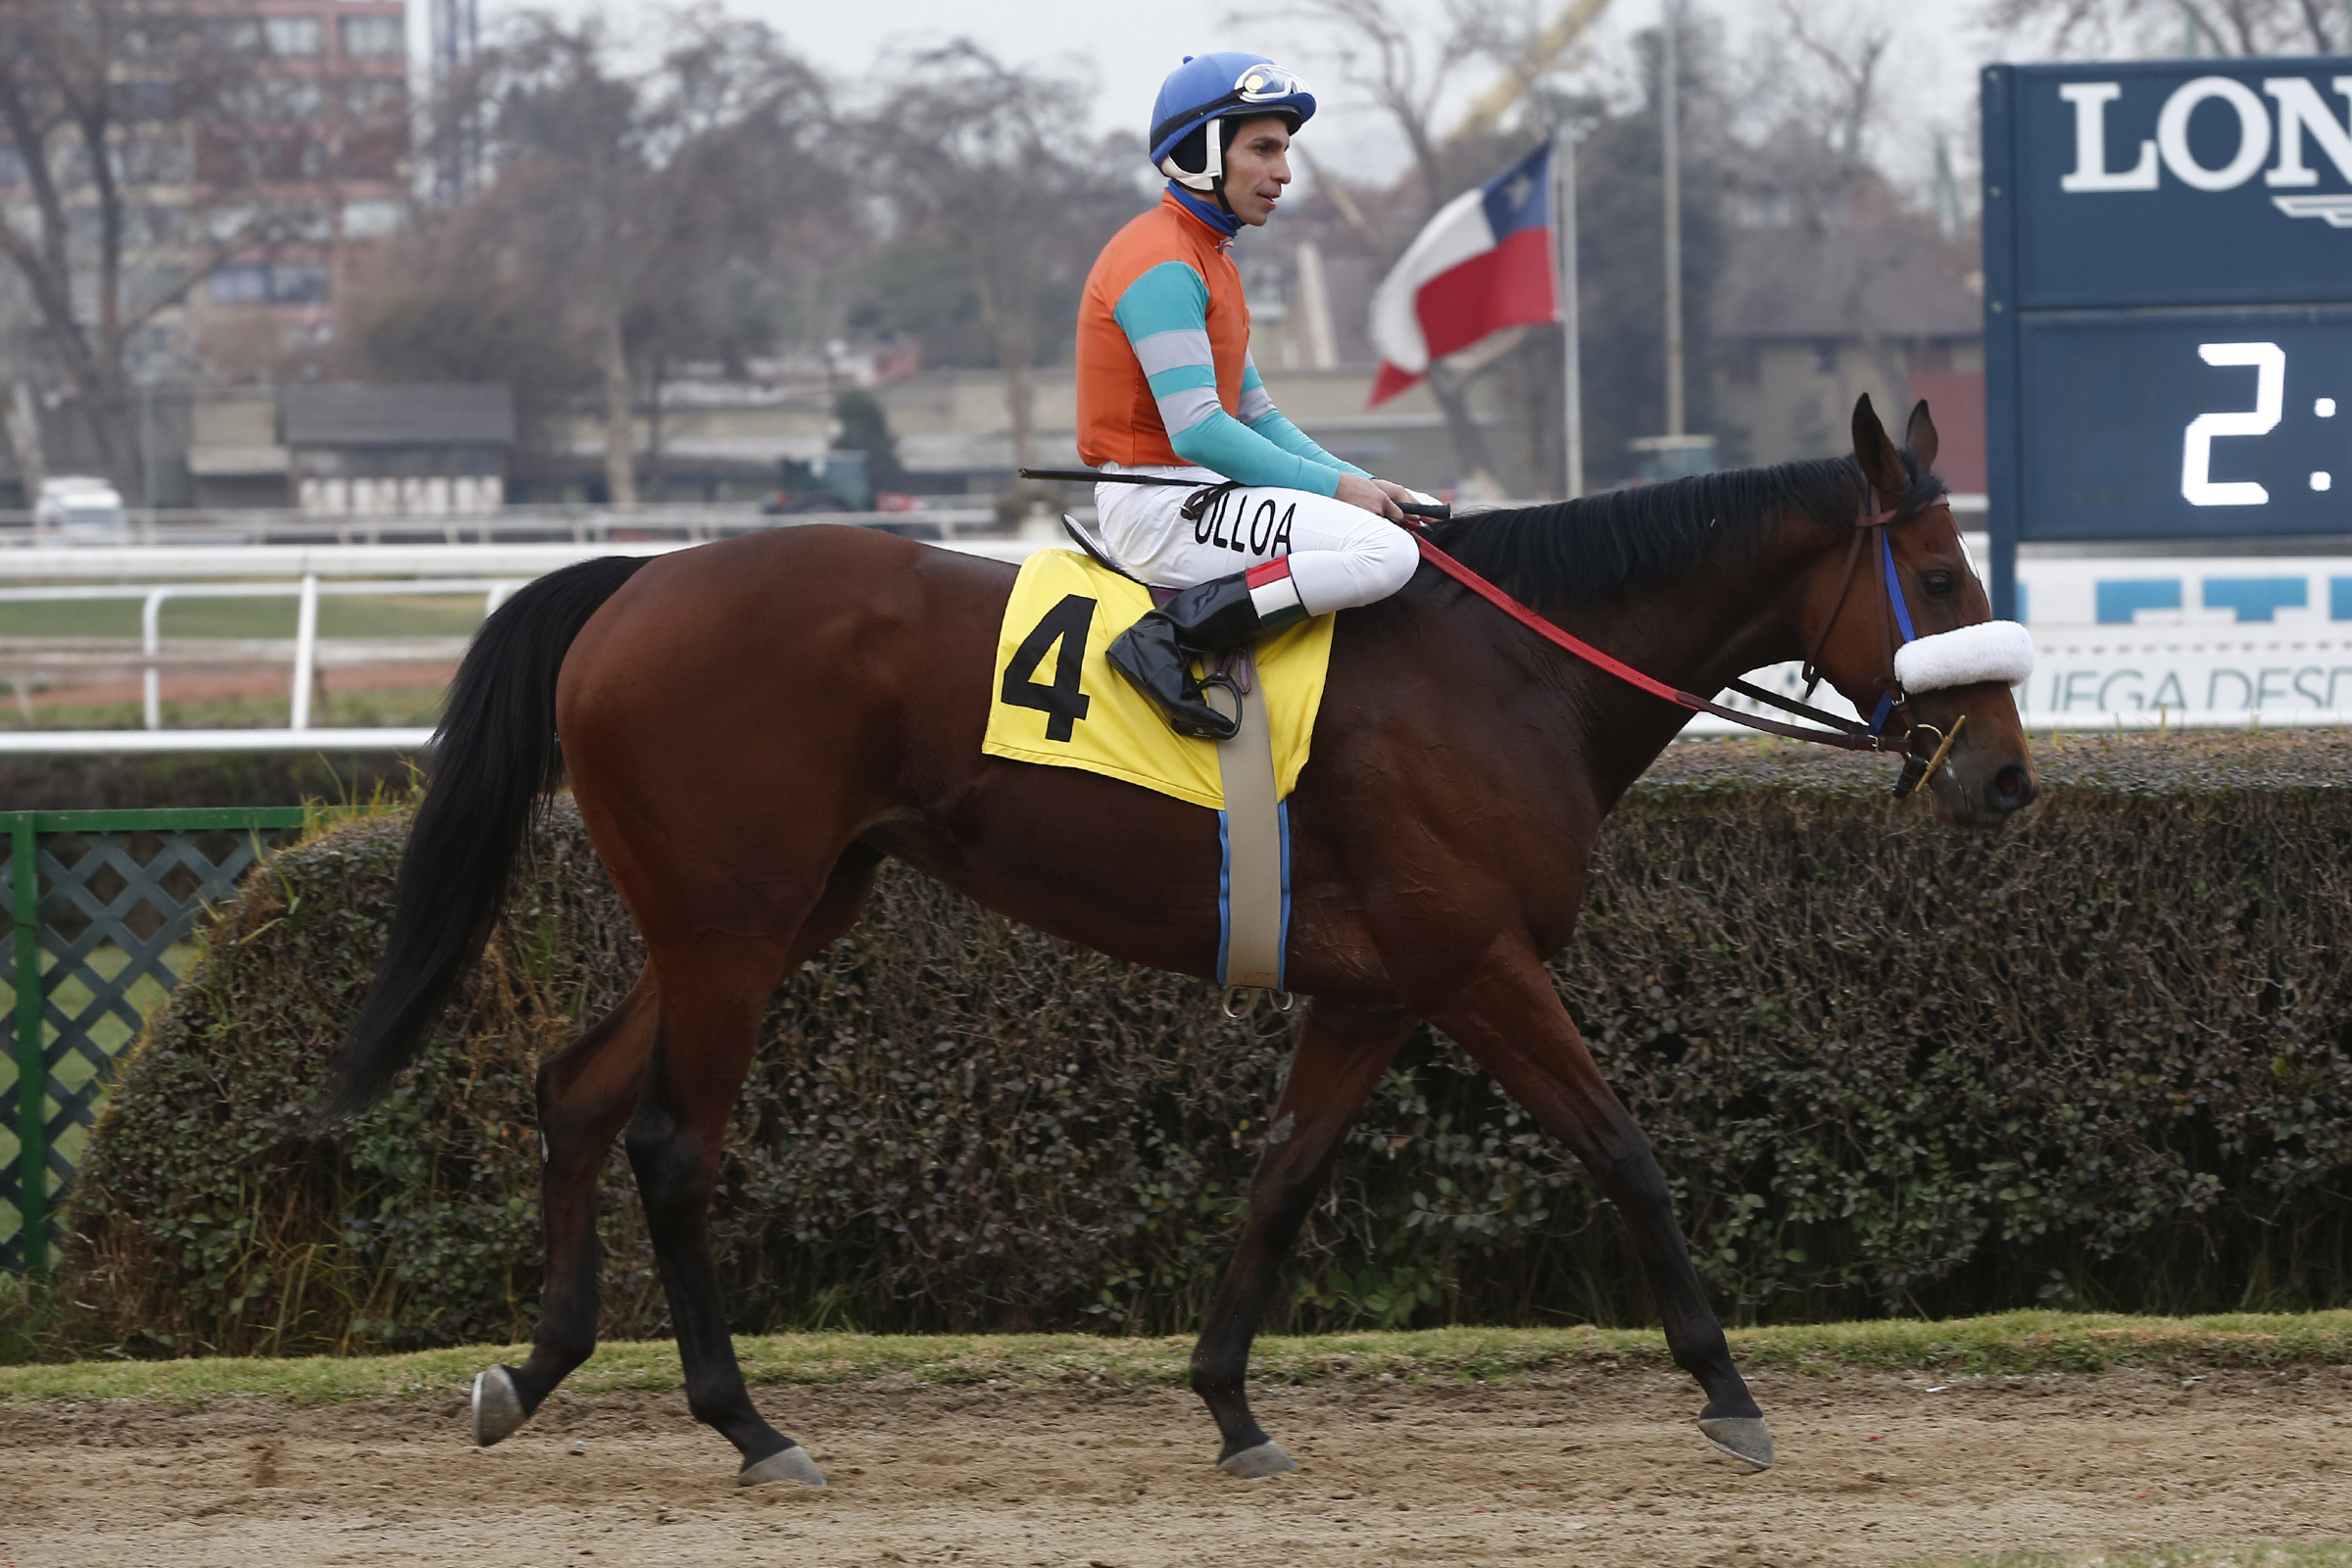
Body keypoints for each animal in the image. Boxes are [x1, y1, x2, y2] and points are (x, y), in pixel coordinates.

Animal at [318, 394, 2036, 1487]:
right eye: (1939, 570)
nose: (2010, 780)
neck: (1510, 672)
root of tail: (636, 584)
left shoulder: (1377, 992)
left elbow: (1283, 1181)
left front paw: (1229, 1409)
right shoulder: (1478, 963)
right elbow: (1626, 1151)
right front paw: (1731, 1393)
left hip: (764, 916)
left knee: (577, 1095)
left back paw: (532, 1372)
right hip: (734, 926)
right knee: (672, 1143)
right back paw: (748, 1427)